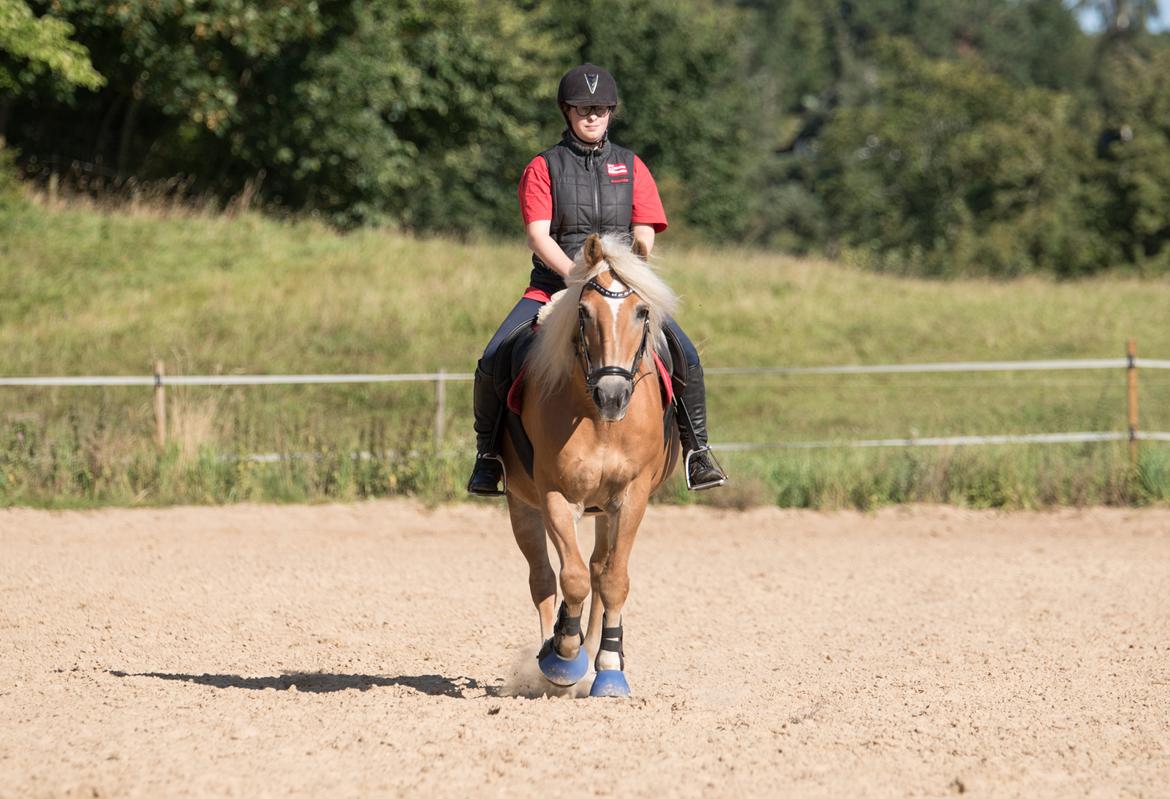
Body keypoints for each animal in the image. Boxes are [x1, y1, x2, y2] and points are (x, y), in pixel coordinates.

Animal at [498, 232, 683, 701]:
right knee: (545, 577)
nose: (613, 395)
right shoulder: (554, 495)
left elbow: (612, 580)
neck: (598, 419)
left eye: (642, 311)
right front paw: (563, 658)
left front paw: (610, 669)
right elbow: (573, 578)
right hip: (522, 505)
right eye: (583, 312)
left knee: (599, 572)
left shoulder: (632, 497)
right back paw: (554, 652)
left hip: (605, 510)